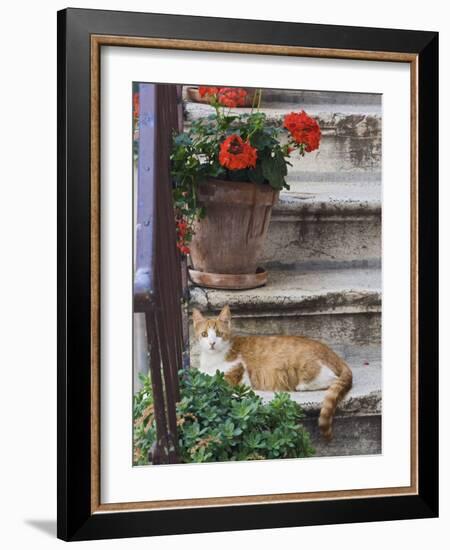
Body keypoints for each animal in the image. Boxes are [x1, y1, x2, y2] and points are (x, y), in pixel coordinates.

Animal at [192, 304, 354, 442]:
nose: (212, 343)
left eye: (219, 334)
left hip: (305, 366)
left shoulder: (231, 376)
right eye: (204, 334)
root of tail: (333, 354)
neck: (211, 359)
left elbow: (213, 380)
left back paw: (302, 386)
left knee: (331, 379)